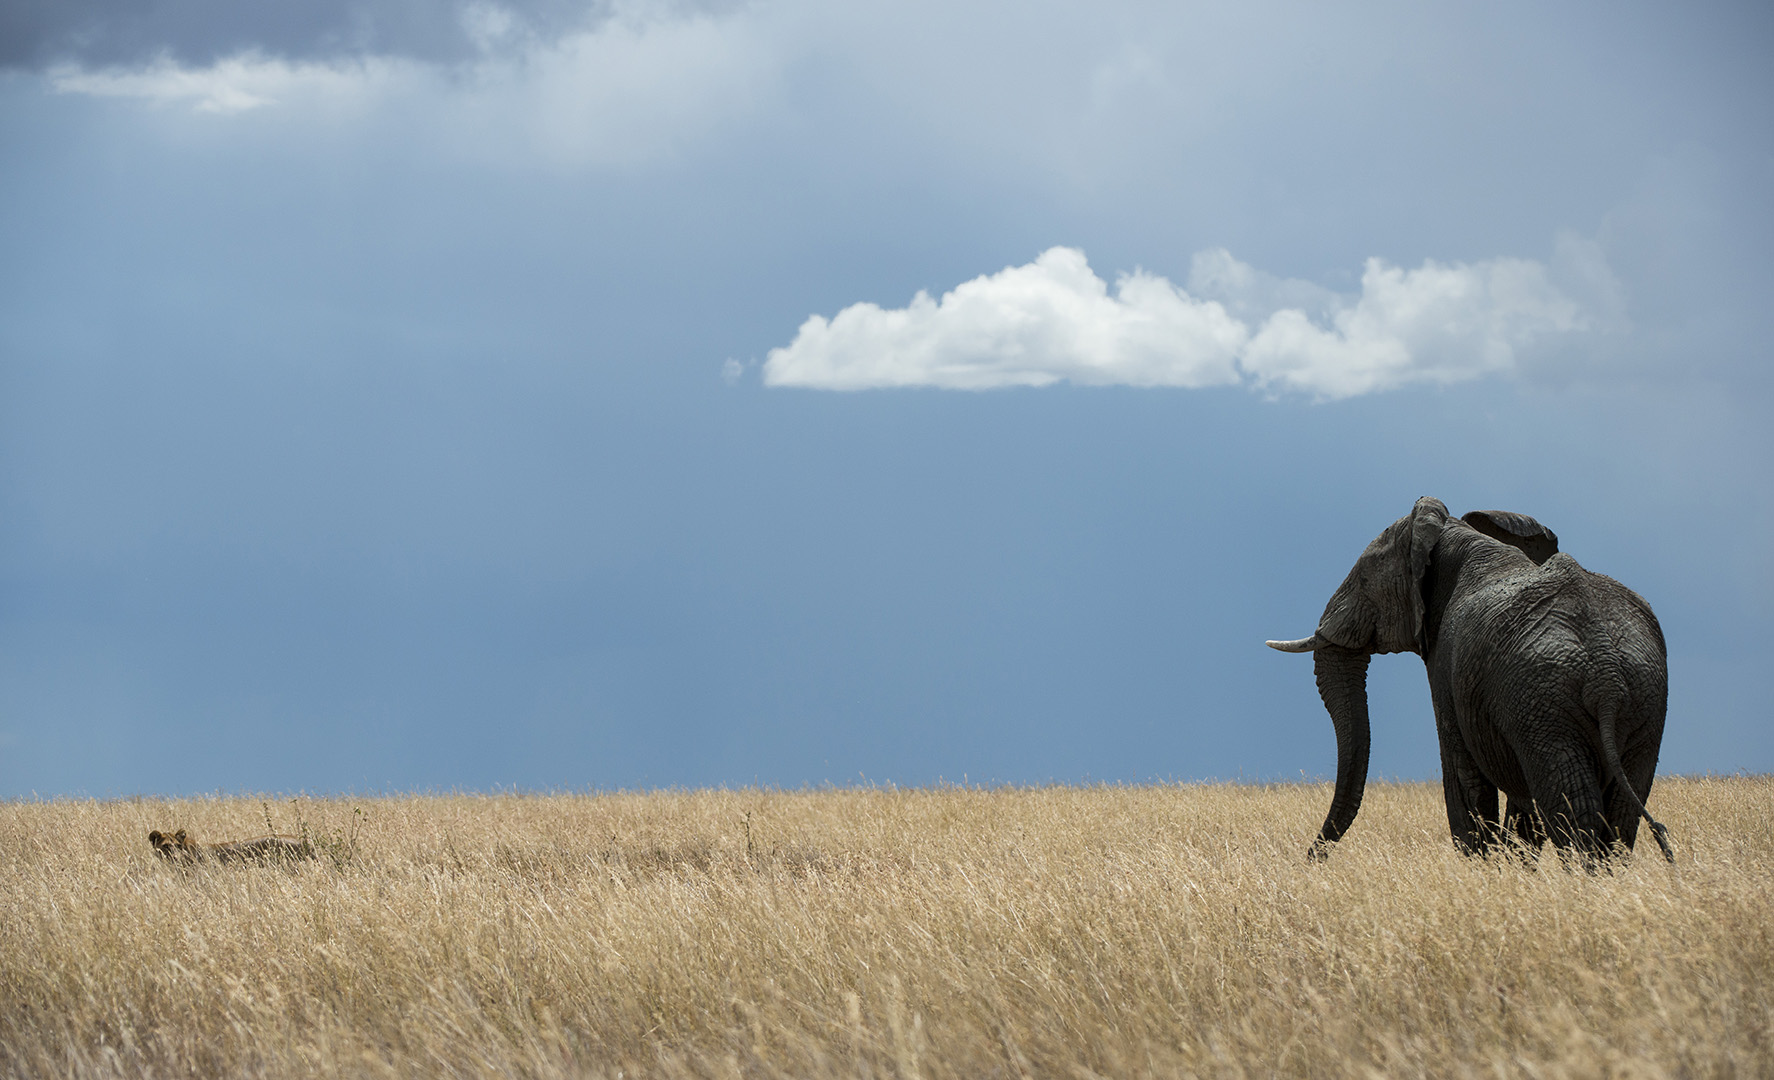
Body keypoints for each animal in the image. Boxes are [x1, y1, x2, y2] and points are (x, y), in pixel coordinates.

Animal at [1267, 496, 1673, 863]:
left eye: (1364, 578)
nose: (1310, 859)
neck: (1451, 534)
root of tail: (1606, 673)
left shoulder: (1446, 661)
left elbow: (1461, 771)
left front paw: (1483, 868)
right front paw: (1514, 869)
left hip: (1545, 706)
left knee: (1573, 811)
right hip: (1642, 703)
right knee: (1620, 816)